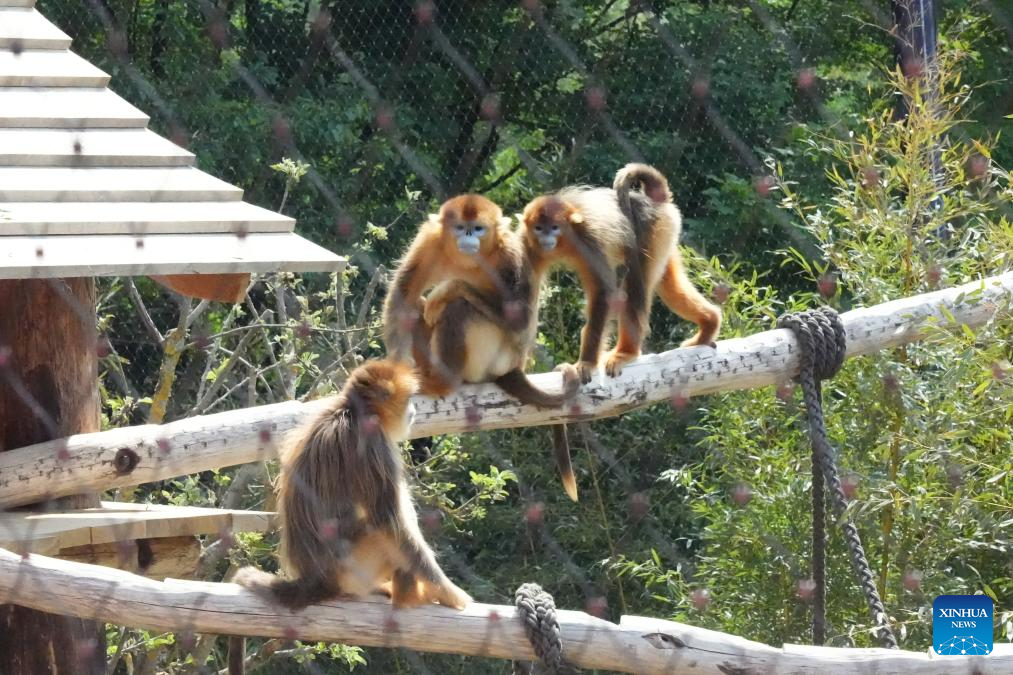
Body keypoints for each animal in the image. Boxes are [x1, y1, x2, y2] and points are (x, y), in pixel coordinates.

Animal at [233, 359, 471, 611]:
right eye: (408, 400)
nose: (413, 410)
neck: (353, 412)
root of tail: (313, 582)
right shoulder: (375, 442)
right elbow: (389, 522)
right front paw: (449, 593)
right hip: (356, 567)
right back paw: (407, 597)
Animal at [521, 163, 722, 382]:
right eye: (539, 228)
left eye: (554, 228)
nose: (546, 238)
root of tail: (655, 200)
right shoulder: (527, 243)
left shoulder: (588, 238)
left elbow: (603, 292)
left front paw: (587, 363)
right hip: (665, 237)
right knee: (669, 287)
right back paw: (709, 324)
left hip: (652, 230)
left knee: (634, 284)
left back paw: (627, 352)